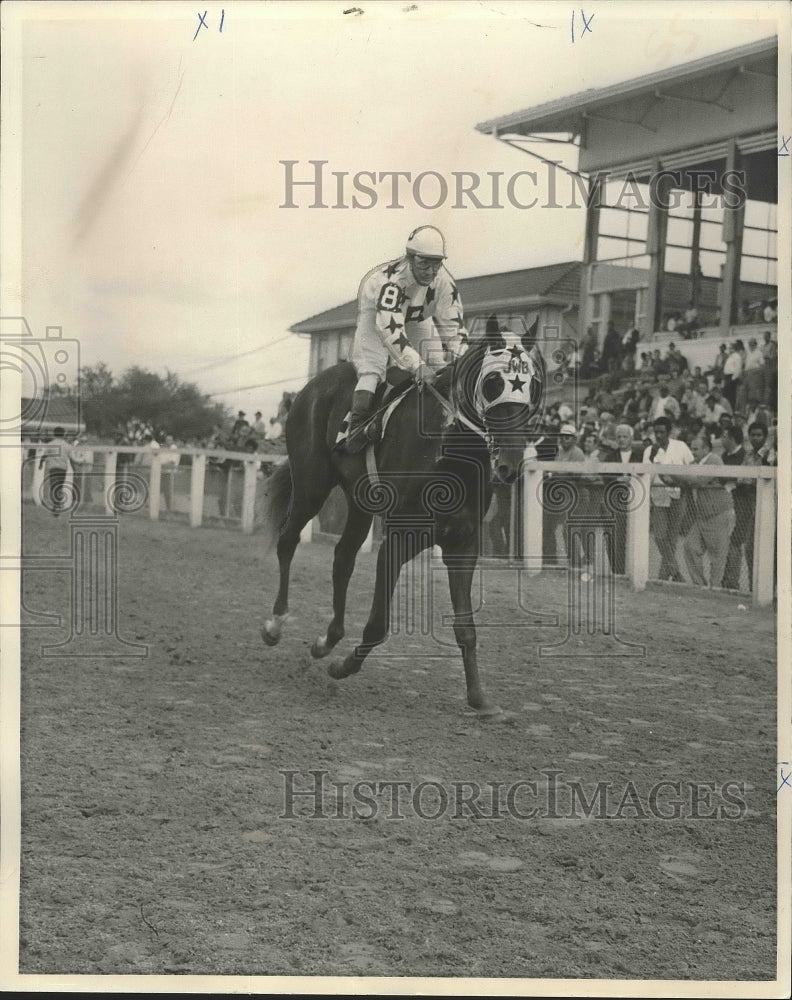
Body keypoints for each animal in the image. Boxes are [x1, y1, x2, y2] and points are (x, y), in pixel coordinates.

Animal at [260, 324, 544, 716]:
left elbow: (466, 628)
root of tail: (313, 385)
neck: (447, 453)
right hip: (311, 484)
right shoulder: (398, 539)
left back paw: (326, 640)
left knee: (343, 558)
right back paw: (276, 624)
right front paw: (343, 667)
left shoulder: (463, 544)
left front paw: (479, 698)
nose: (511, 463)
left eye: (531, 385)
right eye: (492, 383)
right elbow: (379, 624)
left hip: (359, 503)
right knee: (288, 540)